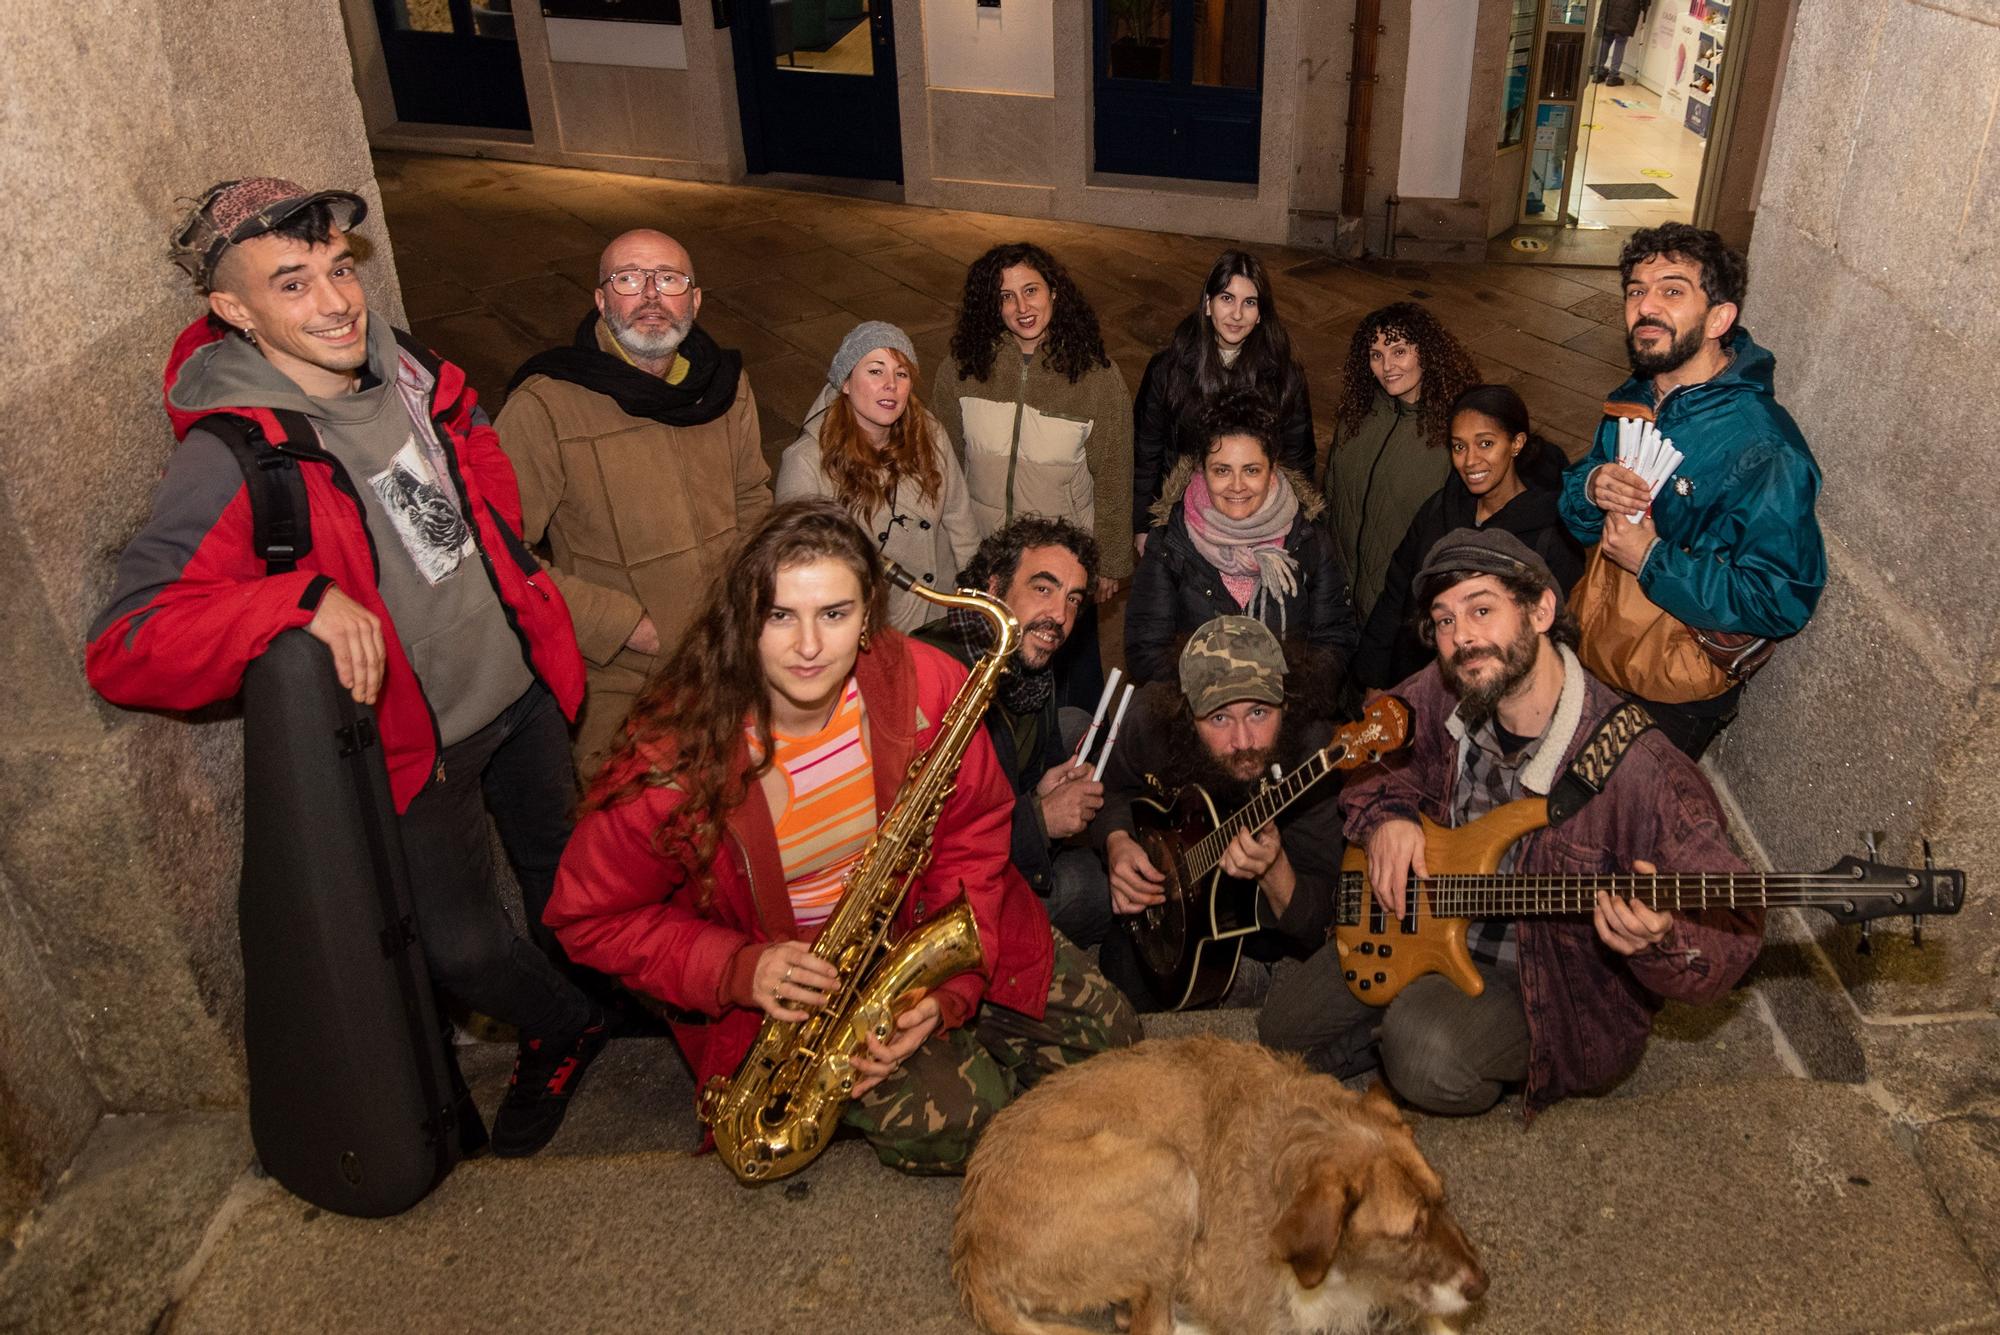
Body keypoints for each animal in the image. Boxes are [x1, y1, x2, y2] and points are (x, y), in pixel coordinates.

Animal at [952, 1031, 1488, 1335]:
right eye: (1408, 1232)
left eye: (1444, 1202)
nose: (1482, 1286)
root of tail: (973, 1250)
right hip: (1166, 1170)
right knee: (1147, 1326)